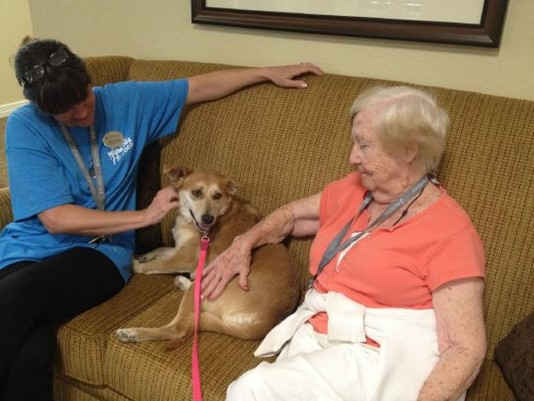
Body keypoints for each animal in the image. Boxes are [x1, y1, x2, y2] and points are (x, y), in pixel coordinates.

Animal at [116, 166, 300, 344]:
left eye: (217, 195)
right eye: (196, 192)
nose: (207, 219)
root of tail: (264, 325)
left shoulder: (187, 258)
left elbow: (156, 265)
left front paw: (134, 265)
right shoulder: (180, 247)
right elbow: (161, 249)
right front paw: (144, 255)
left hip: (206, 283)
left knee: (177, 329)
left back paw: (133, 333)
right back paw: (182, 282)